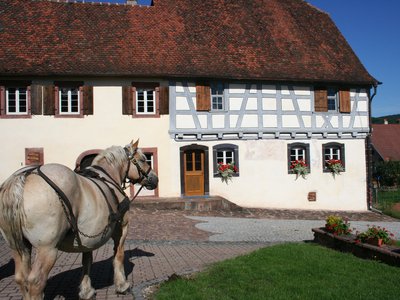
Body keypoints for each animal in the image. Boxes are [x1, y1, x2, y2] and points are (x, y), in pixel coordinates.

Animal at [0, 139, 159, 298]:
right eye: (143, 159)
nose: (155, 179)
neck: (108, 178)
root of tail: (25, 176)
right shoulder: (121, 228)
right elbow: (118, 255)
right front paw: (122, 285)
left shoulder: (89, 235)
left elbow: (87, 261)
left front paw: (86, 291)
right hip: (47, 249)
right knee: (35, 281)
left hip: (18, 246)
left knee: (21, 278)